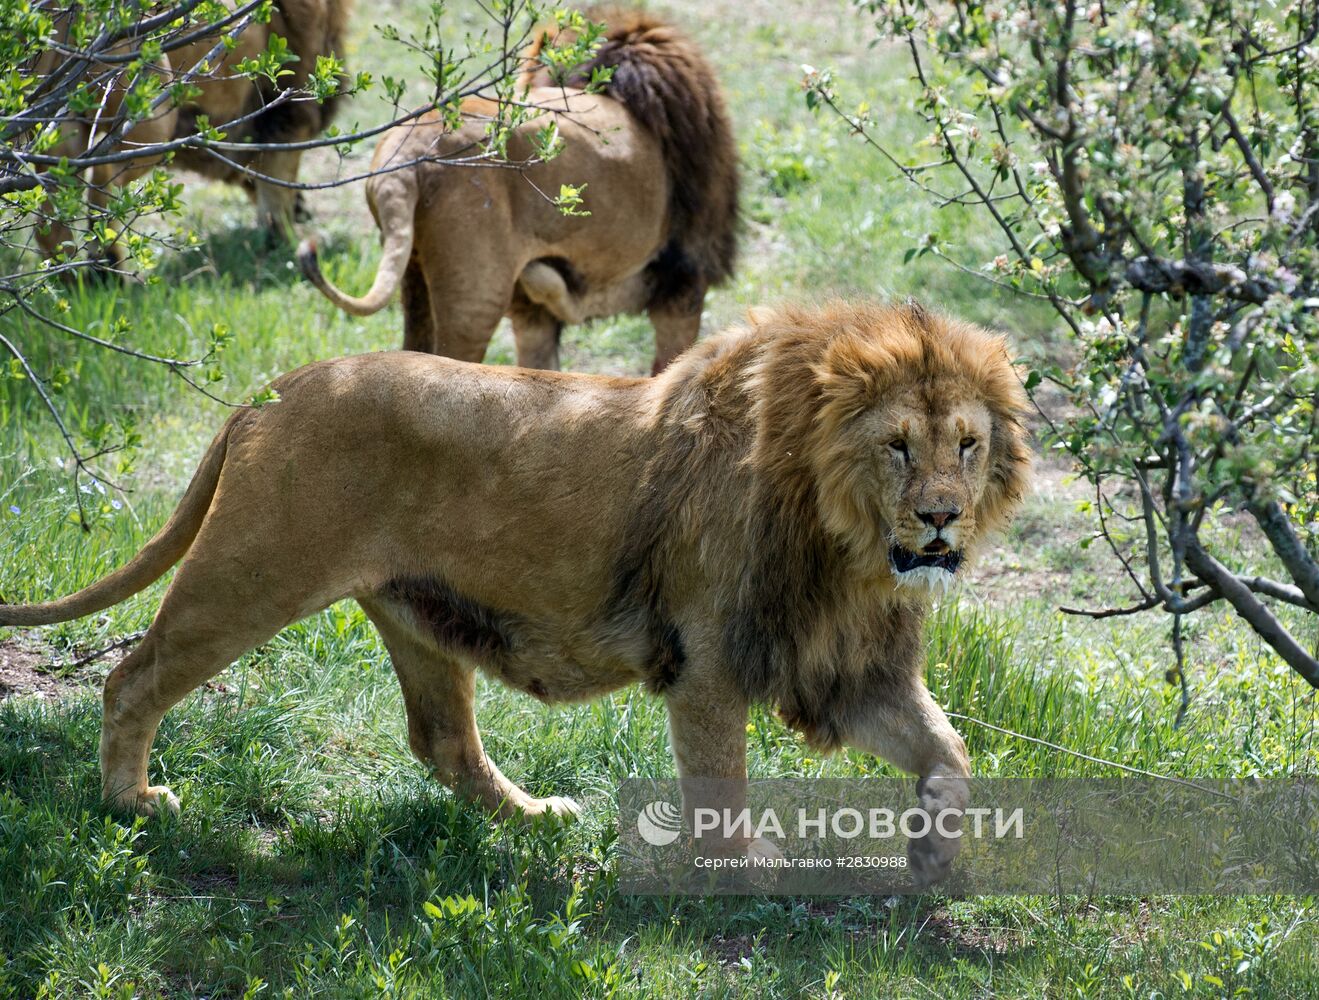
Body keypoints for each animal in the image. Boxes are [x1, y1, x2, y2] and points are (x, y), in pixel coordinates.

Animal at [0, 302, 1028, 886]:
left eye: (966, 445)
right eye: (897, 446)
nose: (940, 519)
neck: (846, 548)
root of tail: (277, 385)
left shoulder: (850, 668)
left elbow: (951, 752)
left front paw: (933, 856)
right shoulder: (707, 661)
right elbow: (719, 782)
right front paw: (741, 871)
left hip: (414, 616)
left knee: (441, 742)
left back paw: (536, 820)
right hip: (251, 575)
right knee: (132, 678)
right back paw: (131, 803)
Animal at [32, 0, 350, 262]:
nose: (304, 212)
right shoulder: (286, 118)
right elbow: (276, 194)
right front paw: (287, 248)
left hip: (62, 121)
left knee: (50, 214)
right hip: (152, 110)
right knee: (103, 179)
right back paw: (107, 266)